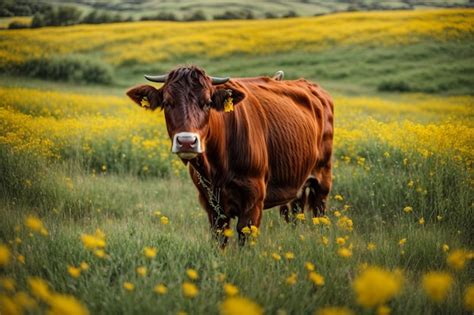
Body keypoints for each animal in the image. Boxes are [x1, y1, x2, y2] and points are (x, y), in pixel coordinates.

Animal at [126, 65, 334, 247]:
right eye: (167, 103)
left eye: (208, 103)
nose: (186, 141)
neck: (217, 166)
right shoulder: (211, 205)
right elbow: (220, 240)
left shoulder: (253, 201)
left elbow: (245, 237)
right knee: (295, 213)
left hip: (322, 178)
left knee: (320, 213)